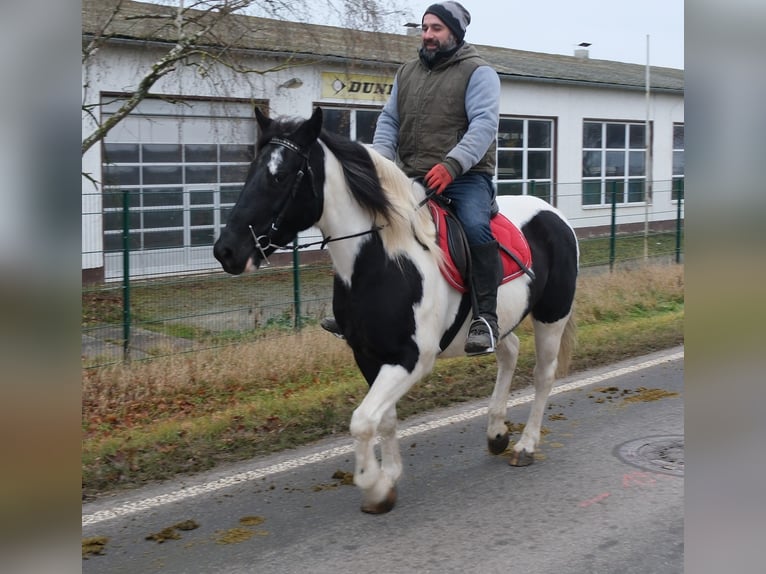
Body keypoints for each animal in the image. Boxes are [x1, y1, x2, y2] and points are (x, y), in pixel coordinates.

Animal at [214, 107, 579, 514]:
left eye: (280, 176)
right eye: (251, 171)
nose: (226, 250)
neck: (383, 260)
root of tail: (554, 213)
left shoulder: (410, 359)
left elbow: (362, 420)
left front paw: (372, 485)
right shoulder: (367, 355)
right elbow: (382, 419)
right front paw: (388, 477)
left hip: (552, 317)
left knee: (543, 376)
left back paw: (526, 445)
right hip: (500, 322)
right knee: (509, 352)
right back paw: (497, 431)